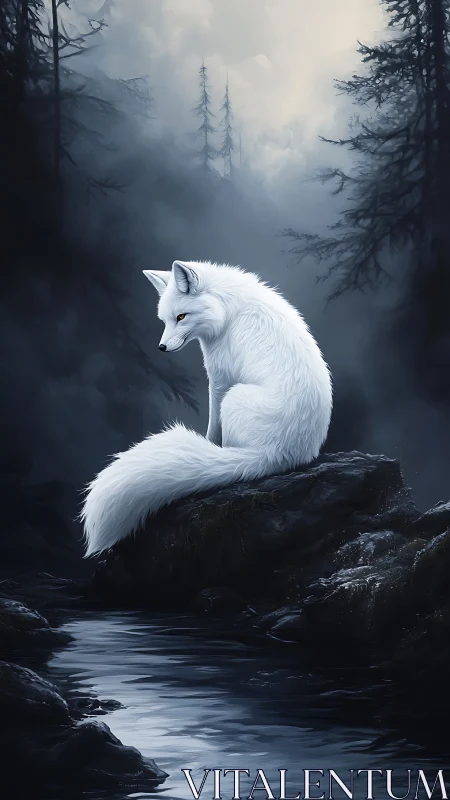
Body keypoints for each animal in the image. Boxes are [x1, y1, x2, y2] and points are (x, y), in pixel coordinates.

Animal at [82, 260, 333, 557]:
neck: (229, 310)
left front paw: (209, 444)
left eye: (181, 316)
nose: (161, 347)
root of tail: (280, 455)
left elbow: (213, 428)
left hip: (234, 398)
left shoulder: (219, 378)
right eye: (165, 320)